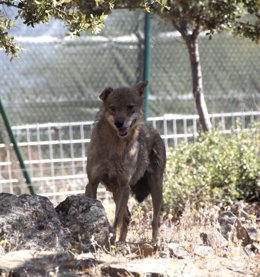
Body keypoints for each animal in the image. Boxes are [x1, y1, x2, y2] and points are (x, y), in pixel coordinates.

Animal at [85, 80, 167, 242]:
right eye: (113, 108)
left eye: (130, 107)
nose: (119, 123)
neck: (114, 148)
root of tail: (152, 129)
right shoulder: (92, 182)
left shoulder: (124, 185)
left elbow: (116, 218)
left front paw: (110, 237)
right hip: (115, 191)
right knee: (128, 217)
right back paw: (122, 241)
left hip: (155, 187)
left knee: (155, 220)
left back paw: (154, 243)